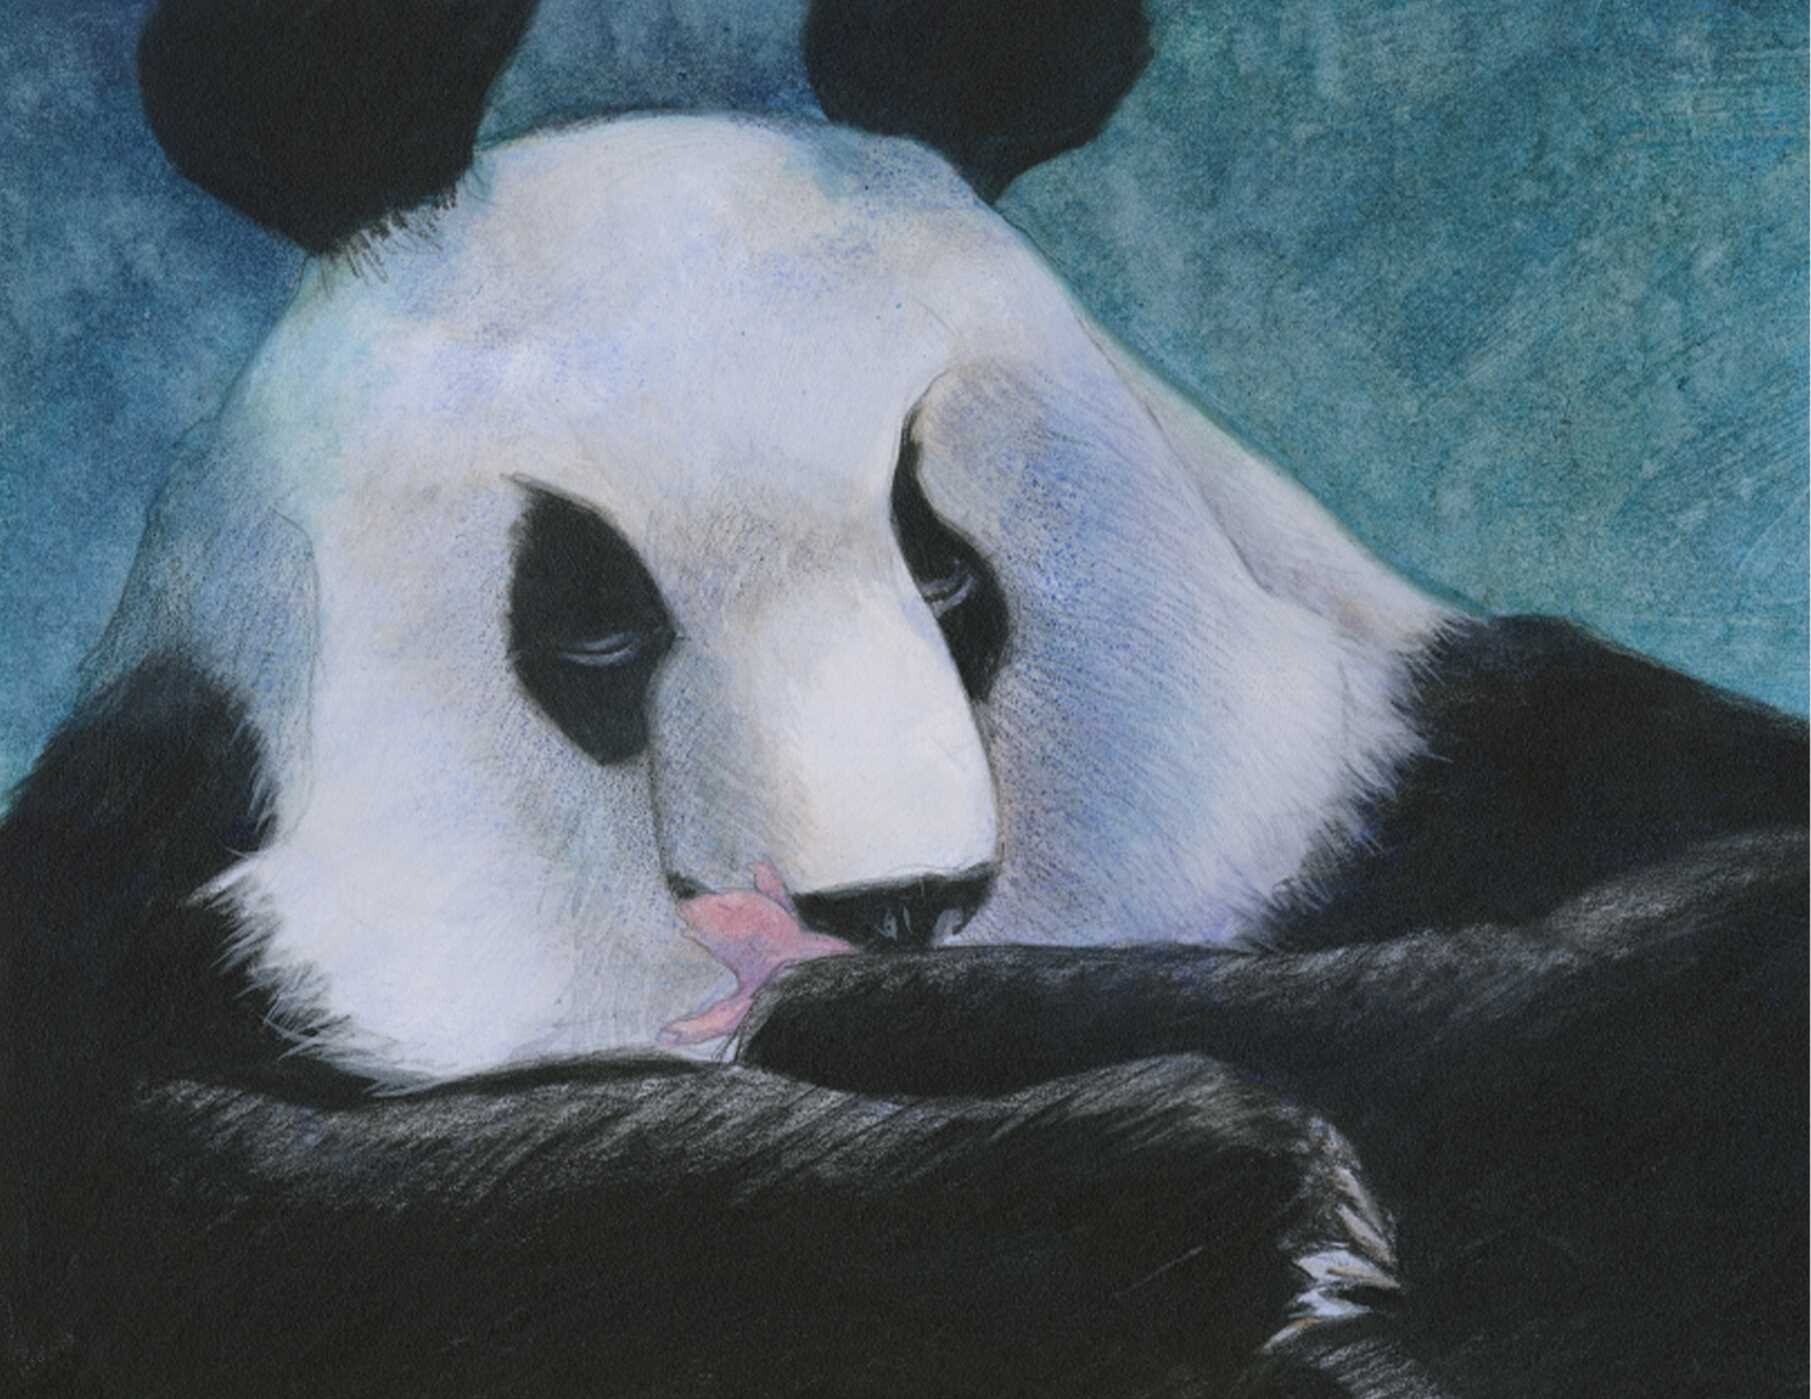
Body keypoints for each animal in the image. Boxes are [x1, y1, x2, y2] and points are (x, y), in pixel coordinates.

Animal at [0, 1, 1802, 1396]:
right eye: (596, 629)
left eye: (943, 570)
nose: (891, 906)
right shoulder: (136, 930)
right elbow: (321, 1200)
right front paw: (1205, 1191)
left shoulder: (1445, 763)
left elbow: (1671, 955)